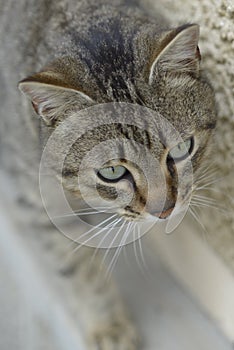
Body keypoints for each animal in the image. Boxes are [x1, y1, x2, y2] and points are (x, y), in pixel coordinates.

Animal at [0, 0, 217, 348]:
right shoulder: (37, 203)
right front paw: (108, 324)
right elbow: (76, 269)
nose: (165, 210)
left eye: (183, 148)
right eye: (112, 171)